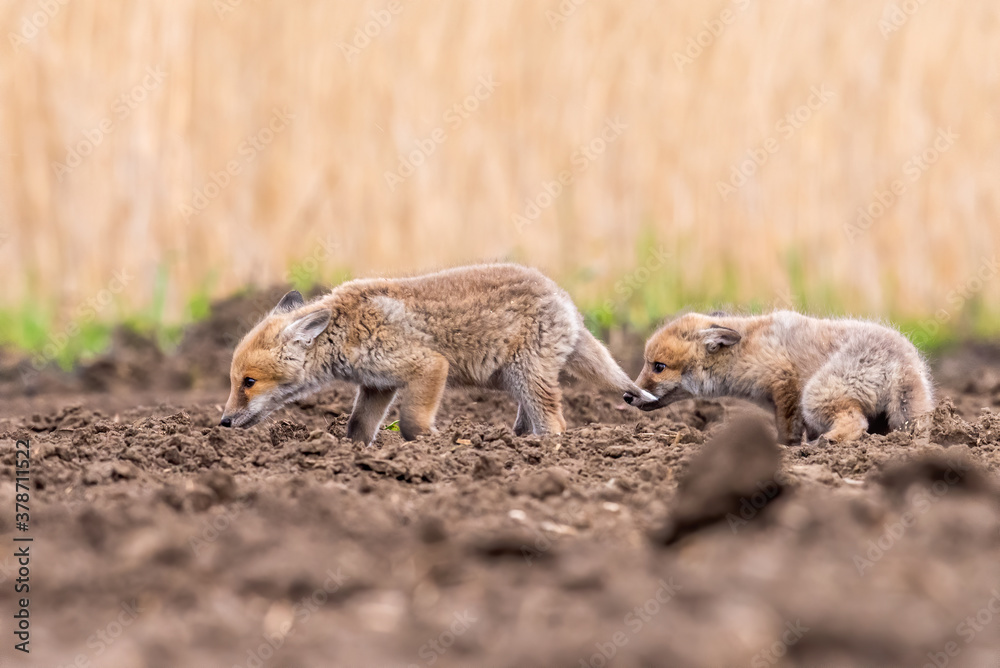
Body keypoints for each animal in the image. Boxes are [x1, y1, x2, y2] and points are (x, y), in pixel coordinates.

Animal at [220, 263, 656, 444]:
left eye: (249, 382)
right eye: (234, 381)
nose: (223, 422)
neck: (347, 329)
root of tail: (564, 298)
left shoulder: (428, 366)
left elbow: (413, 421)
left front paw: (434, 444)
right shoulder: (378, 386)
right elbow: (358, 427)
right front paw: (353, 455)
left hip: (527, 376)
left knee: (556, 424)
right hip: (516, 380)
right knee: (531, 420)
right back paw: (516, 442)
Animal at [623, 310, 934, 444]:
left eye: (658, 366)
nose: (627, 395)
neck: (746, 350)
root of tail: (902, 360)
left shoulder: (785, 384)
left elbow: (787, 431)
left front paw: (785, 448)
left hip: (816, 396)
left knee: (856, 422)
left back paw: (827, 442)